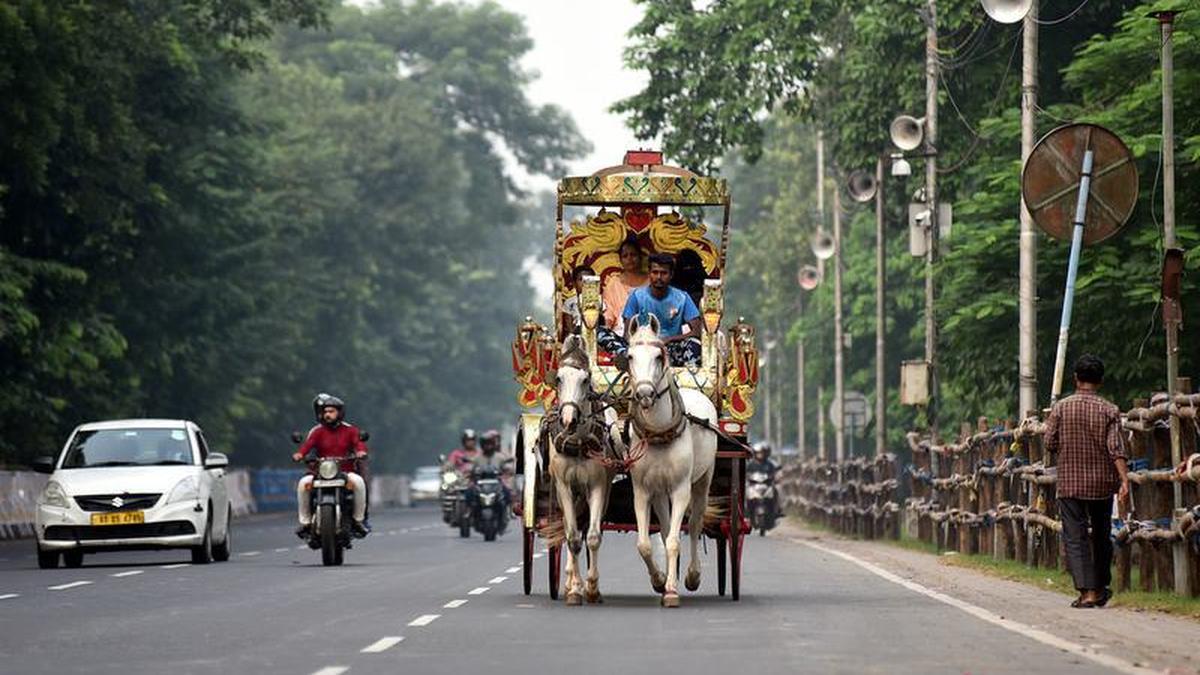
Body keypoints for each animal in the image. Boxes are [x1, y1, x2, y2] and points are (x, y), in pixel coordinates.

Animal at [547, 333, 614, 600]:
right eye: (558, 378)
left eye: (586, 379)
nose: (569, 420)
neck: (577, 443)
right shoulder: (564, 486)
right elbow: (572, 537)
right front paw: (575, 588)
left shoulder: (598, 485)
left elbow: (594, 536)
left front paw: (592, 587)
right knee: (570, 528)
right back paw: (568, 581)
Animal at [624, 314, 715, 605]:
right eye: (630, 356)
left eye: (658, 356)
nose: (644, 394)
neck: (659, 433)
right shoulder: (642, 489)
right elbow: (645, 544)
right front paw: (660, 580)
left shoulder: (681, 488)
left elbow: (676, 540)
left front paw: (673, 591)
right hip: (659, 491)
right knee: (665, 530)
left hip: (704, 478)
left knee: (695, 523)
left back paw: (692, 575)